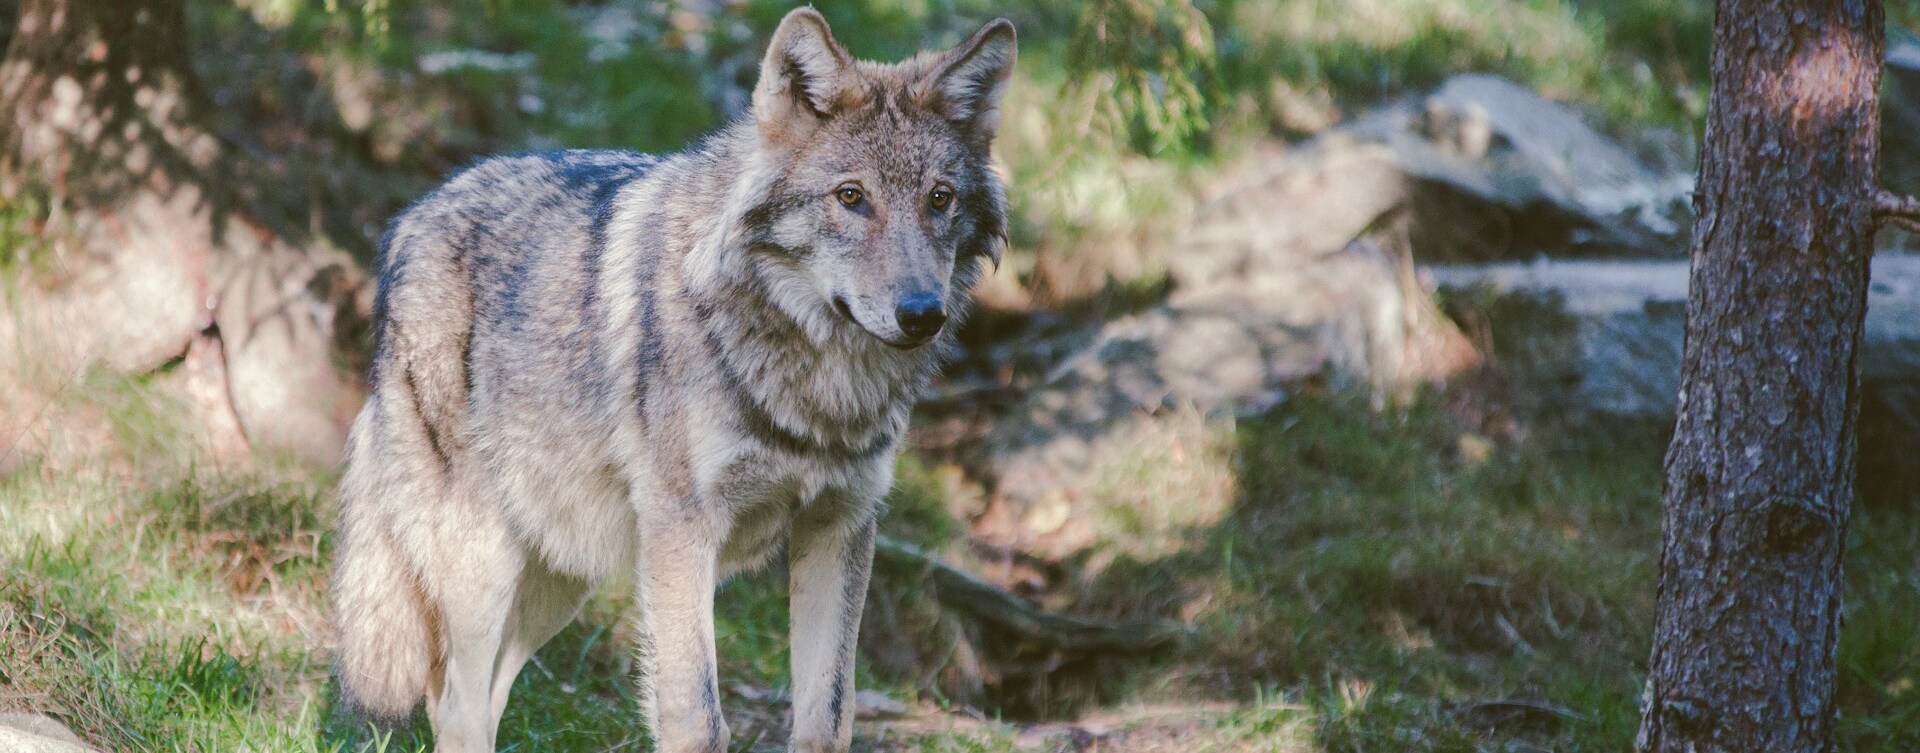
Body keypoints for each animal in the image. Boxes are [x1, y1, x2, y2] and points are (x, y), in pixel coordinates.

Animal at [327, 9, 1014, 752]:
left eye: (939, 199)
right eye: (851, 197)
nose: (922, 313)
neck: (818, 389)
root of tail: (405, 221)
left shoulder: (840, 528)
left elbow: (829, 716)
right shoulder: (685, 533)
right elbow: (697, 717)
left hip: (559, 577)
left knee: (471, 698)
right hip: (484, 561)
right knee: (455, 704)